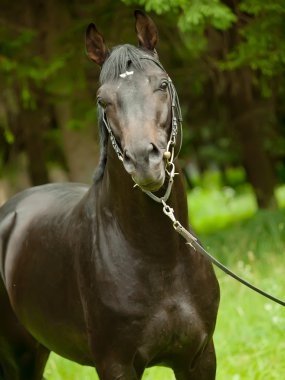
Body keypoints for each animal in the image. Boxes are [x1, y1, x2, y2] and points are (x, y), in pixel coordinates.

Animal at [0, 9, 220, 380]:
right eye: (103, 100)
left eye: (162, 84)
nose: (144, 161)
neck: (159, 257)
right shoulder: (115, 364)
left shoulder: (199, 358)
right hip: (18, 354)